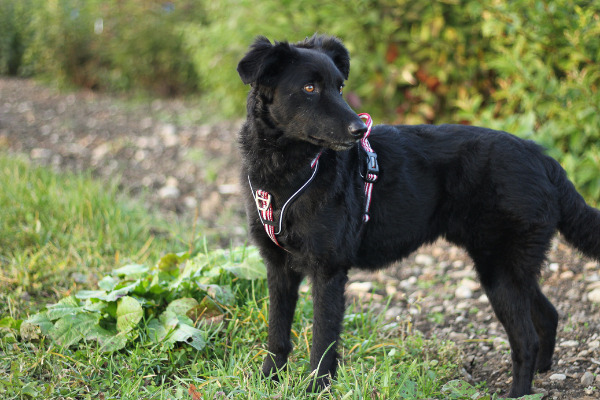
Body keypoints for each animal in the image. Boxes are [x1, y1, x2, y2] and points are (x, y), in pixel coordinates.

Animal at [237, 34, 596, 396]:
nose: (359, 130)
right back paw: (543, 372)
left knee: (526, 339)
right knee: (549, 315)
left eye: (339, 87)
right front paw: (268, 380)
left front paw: (317, 389)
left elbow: (323, 341)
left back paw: (519, 393)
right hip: (512, 269)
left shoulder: (328, 271)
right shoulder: (278, 268)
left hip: (500, 271)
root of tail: (541, 157)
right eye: (309, 87)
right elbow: (277, 334)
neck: (289, 174)